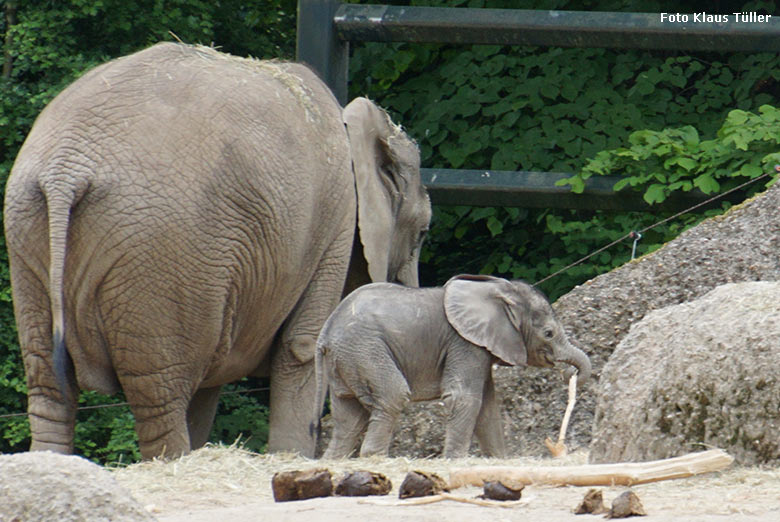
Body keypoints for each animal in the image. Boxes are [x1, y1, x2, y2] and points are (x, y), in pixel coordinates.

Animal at [3, 43, 432, 460]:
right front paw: (290, 458)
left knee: (49, 388)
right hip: (161, 254)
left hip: (29, 233)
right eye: (424, 230)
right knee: (159, 398)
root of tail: (66, 170)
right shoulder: (335, 222)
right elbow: (301, 347)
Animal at [312, 272, 592, 456]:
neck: (502, 291)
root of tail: (325, 332)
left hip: (346, 360)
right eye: (548, 334)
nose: (569, 374)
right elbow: (464, 397)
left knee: (348, 417)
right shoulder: (464, 342)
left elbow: (488, 407)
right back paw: (374, 459)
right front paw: (454, 461)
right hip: (365, 350)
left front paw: (499, 461)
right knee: (392, 396)